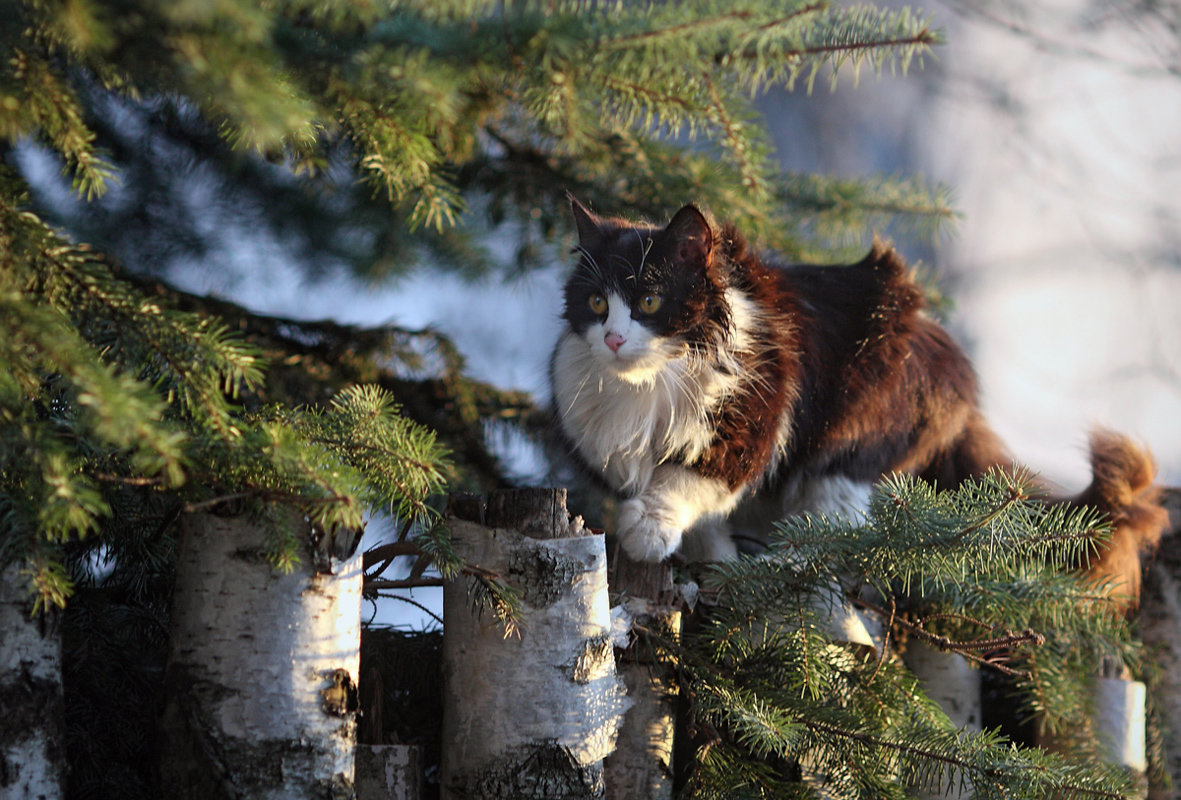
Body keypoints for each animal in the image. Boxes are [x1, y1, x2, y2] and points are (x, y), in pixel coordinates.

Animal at [550, 199, 1162, 605]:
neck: (647, 388)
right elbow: (704, 523)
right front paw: (710, 562)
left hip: (850, 446)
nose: (613, 339)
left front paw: (649, 532)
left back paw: (781, 563)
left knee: (838, 538)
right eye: (597, 302)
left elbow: (685, 480)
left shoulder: (748, 421)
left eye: (651, 301)